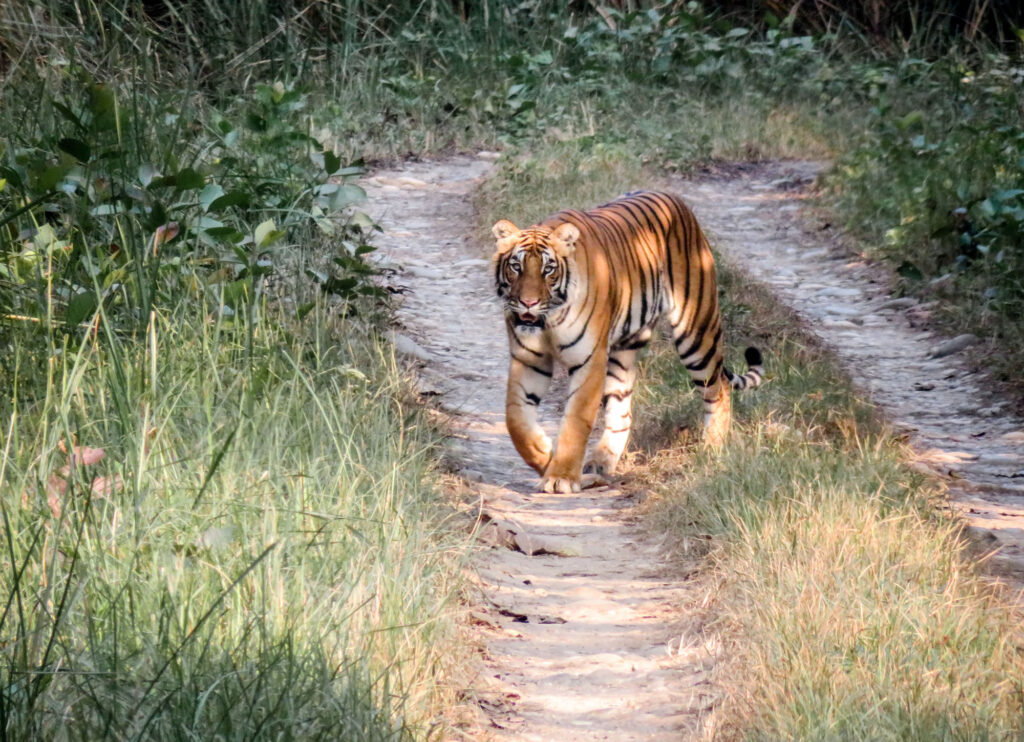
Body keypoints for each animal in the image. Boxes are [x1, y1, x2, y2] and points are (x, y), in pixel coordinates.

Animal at [491, 189, 765, 491]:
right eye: (516, 266)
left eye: (548, 269)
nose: (528, 302)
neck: (549, 319)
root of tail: (677, 200)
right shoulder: (528, 359)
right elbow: (515, 419)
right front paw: (544, 454)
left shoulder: (589, 361)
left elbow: (575, 420)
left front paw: (561, 477)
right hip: (622, 352)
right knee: (623, 411)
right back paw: (601, 461)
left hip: (696, 331)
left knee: (719, 389)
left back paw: (713, 448)